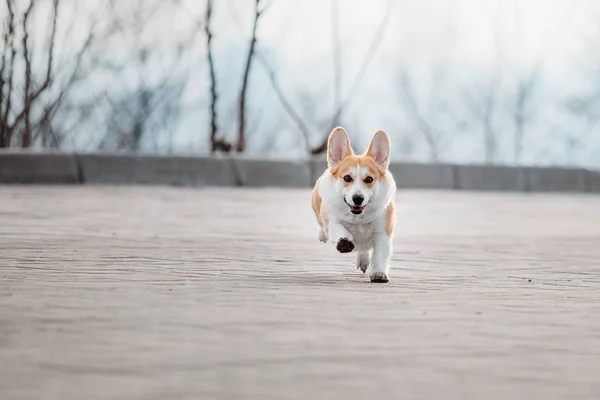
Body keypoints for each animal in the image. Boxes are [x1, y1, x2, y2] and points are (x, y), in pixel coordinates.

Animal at [312, 126, 396, 282]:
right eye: (347, 178)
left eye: (369, 179)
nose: (358, 198)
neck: (358, 219)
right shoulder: (332, 221)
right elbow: (339, 229)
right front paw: (344, 242)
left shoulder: (383, 234)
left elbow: (380, 256)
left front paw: (379, 274)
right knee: (320, 223)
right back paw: (322, 235)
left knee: (364, 251)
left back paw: (363, 260)